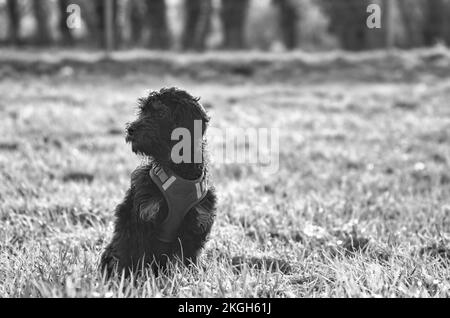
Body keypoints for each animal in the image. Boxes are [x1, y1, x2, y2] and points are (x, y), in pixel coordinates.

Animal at [101, 88, 217, 278]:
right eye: (142, 111)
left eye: (160, 112)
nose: (130, 129)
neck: (178, 171)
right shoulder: (142, 218)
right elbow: (138, 256)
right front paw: (138, 280)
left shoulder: (197, 221)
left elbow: (187, 259)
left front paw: (190, 278)